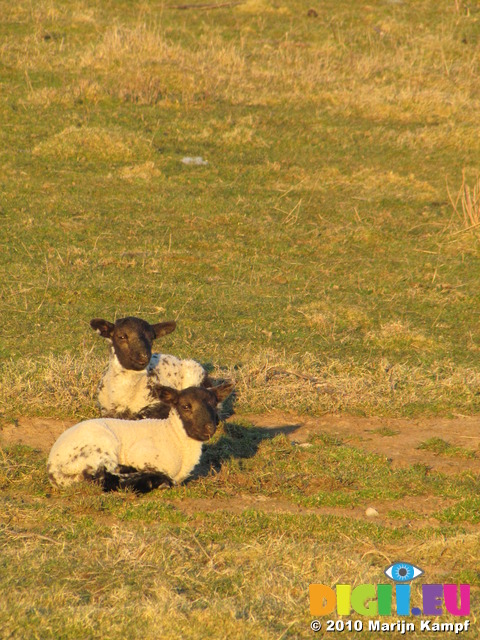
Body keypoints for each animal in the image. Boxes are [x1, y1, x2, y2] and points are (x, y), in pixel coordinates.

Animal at [47, 380, 234, 490]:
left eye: (214, 404)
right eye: (186, 406)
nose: (209, 427)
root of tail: (53, 468)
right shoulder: (141, 454)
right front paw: (158, 480)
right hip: (101, 447)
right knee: (102, 476)